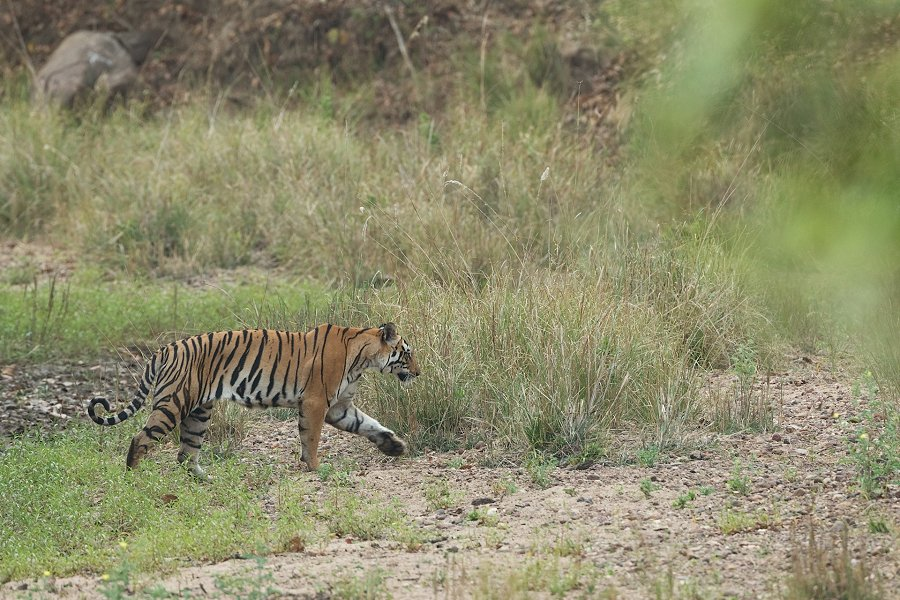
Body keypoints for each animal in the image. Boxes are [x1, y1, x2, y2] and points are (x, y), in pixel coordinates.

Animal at [87, 323, 420, 480]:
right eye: (407, 352)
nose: (419, 373)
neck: (364, 358)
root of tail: (164, 349)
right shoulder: (316, 403)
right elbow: (311, 439)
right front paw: (315, 467)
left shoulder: (339, 408)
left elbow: (369, 425)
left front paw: (395, 446)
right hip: (173, 404)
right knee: (140, 438)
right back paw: (133, 477)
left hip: (198, 413)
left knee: (185, 454)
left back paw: (206, 479)